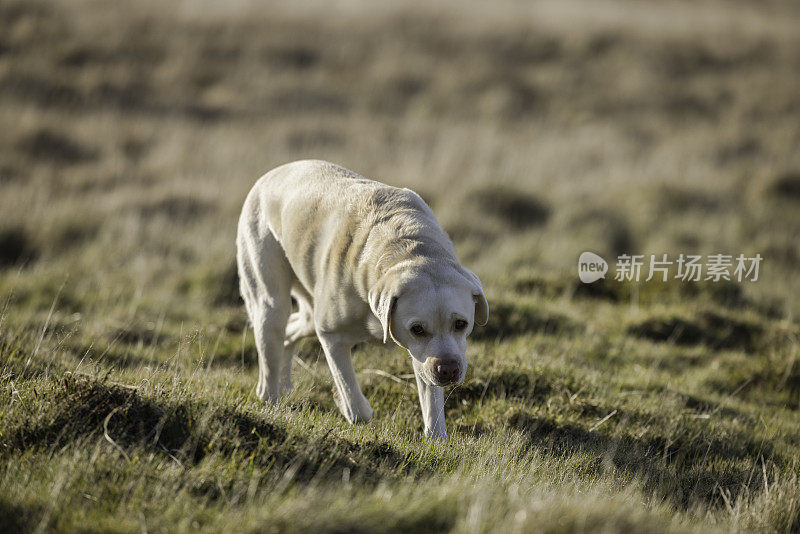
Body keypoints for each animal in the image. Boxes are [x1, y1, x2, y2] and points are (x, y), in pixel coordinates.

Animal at [236, 160, 488, 440]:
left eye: (461, 324)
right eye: (417, 329)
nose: (448, 370)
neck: (409, 249)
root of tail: (270, 175)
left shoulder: (422, 357)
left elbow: (431, 401)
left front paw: (436, 439)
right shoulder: (331, 335)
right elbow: (351, 393)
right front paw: (350, 409)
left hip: (308, 315)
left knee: (290, 331)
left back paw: (284, 384)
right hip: (271, 301)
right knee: (272, 343)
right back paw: (270, 400)